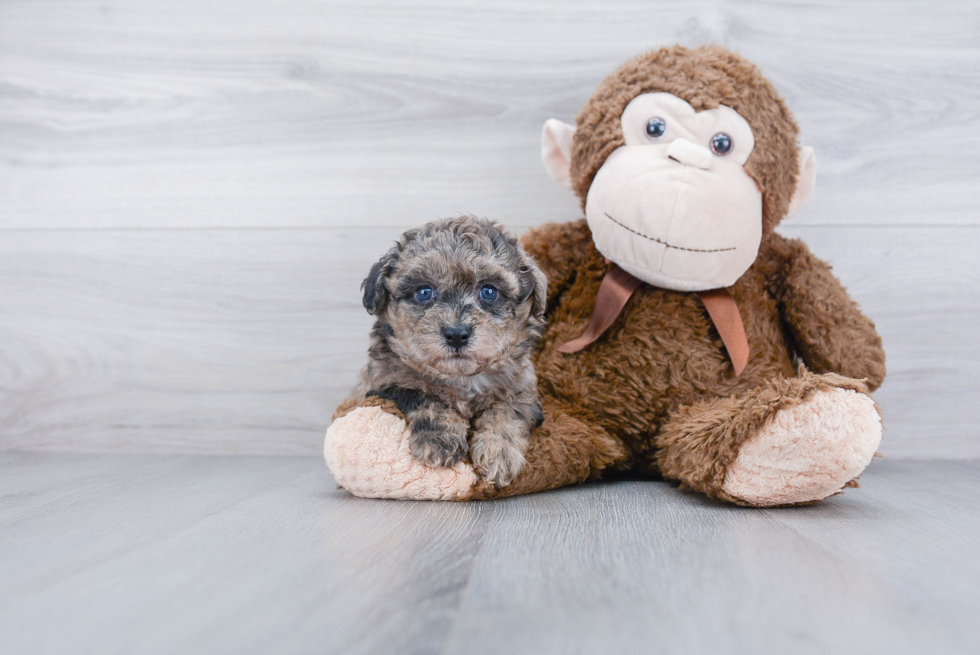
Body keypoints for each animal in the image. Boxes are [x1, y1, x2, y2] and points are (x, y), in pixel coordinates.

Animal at [354, 215, 552, 486]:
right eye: (423, 292)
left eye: (489, 291)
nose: (457, 334)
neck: (461, 378)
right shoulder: (386, 383)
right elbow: (426, 398)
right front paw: (440, 440)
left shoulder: (523, 391)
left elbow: (505, 412)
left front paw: (498, 452)